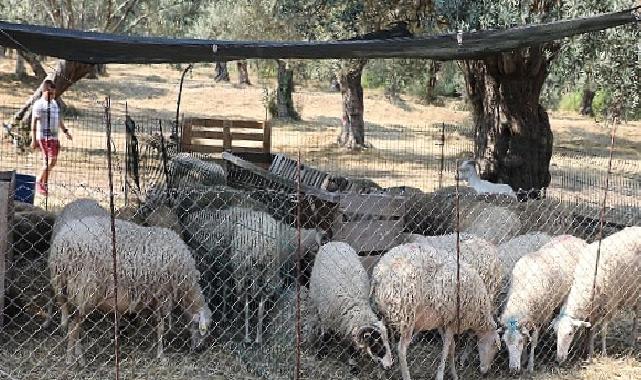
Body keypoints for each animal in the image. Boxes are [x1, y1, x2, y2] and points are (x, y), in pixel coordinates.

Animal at [48, 215, 212, 364]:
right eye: (201, 329)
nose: (199, 349)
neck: (187, 285)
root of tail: (61, 243)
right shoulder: (163, 295)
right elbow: (161, 326)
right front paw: (161, 355)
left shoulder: (152, 297)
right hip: (84, 289)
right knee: (73, 327)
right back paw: (72, 359)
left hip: (71, 291)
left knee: (75, 325)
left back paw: (78, 356)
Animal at [308, 243, 392, 372]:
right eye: (376, 344)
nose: (389, 366)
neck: (356, 305)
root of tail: (334, 242)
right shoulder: (327, 318)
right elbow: (325, 336)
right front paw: (321, 353)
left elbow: (352, 347)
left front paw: (353, 365)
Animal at [370, 243, 500, 380]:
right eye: (494, 346)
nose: (485, 371)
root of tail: (379, 273)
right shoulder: (453, 321)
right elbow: (446, 349)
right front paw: (440, 374)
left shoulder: (443, 321)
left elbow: (452, 347)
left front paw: (454, 374)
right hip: (406, 314)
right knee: (401, 350)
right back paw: (406, 375)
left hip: (387, 311)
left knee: (384, 333)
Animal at [498, 235, 588, 374]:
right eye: (505, 343)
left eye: (519, 341)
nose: (513, 369)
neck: (521, 294)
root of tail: (574, 237)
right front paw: (523, 359)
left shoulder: (540, 317)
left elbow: (533, 341)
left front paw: (530, 365)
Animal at [552, 226, 636, 362]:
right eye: (556, 333)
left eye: (570, 333)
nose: (559, 358)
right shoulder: (593, 309)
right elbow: (590, 330)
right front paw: (589, 353)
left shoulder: (610, 305)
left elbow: (603, 330)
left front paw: (603, 353)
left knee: (636, 318)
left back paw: (632, 342)